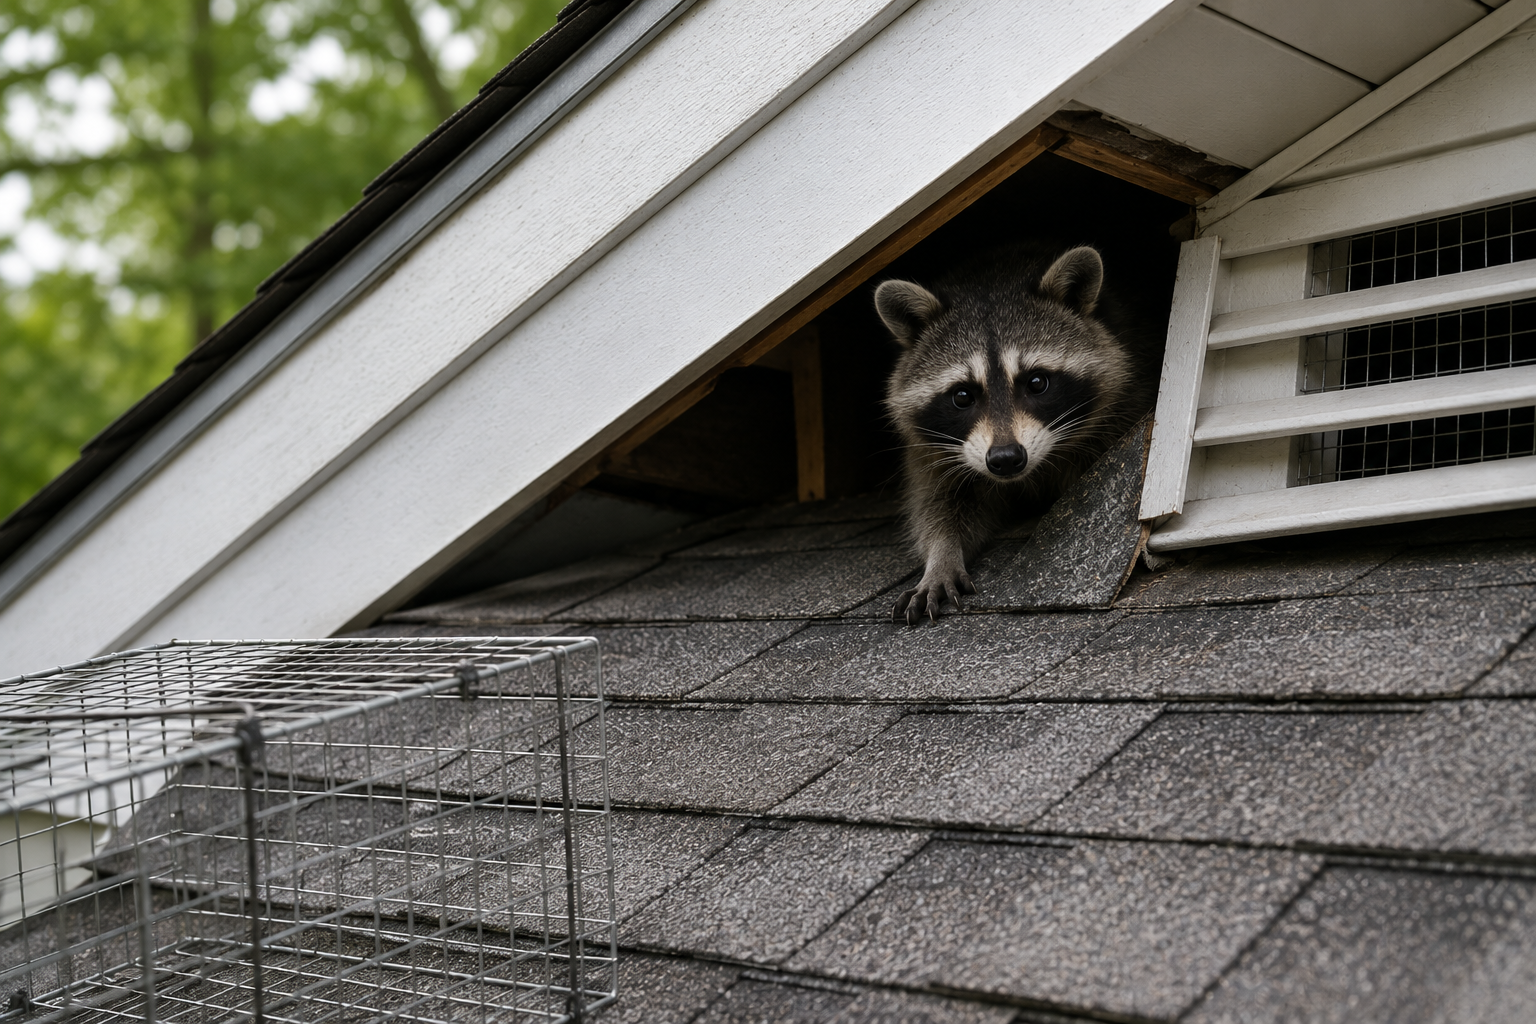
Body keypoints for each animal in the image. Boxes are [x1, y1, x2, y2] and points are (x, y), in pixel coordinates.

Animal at [877, 243, 1153, 624]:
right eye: (962, 396)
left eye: (1036, 382)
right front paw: (941, 555)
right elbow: (938, 503)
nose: (1006, 459)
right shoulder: (929, 452)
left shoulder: (1126, 401)